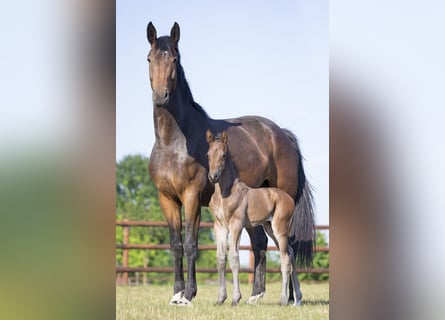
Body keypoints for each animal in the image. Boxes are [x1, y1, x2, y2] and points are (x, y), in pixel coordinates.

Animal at [206, 129, 300, 304]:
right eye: (208, 154)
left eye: (223, 155)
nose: (213, 176)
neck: (225, 193)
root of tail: (289, 199)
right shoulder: (219, 226)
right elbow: (221, 258)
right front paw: (220, 299)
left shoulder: (236, 225)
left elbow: (234, 258)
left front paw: (235, 298)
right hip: (270, 229)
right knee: (290, 252)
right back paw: (298, 299)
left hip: (280, 229)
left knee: (285, 259)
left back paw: (283, 300)